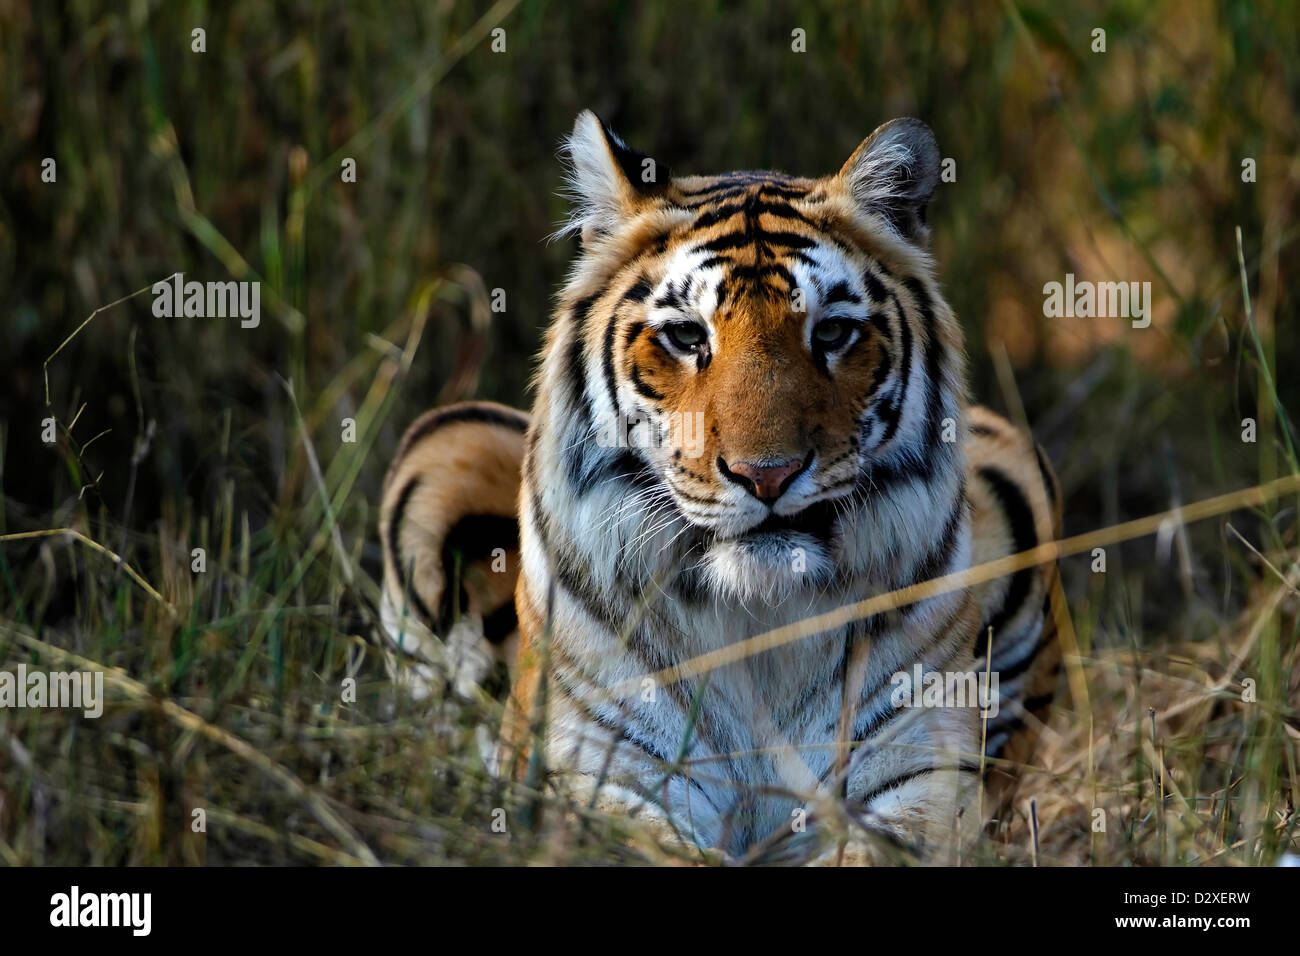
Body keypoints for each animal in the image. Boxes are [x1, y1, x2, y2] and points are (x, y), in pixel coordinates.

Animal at [379, 113, 1066, 868]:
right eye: (686, 336)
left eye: (832, 331)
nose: (767, 474)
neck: (760, 618)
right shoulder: (601, 772)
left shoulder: (920, 772)